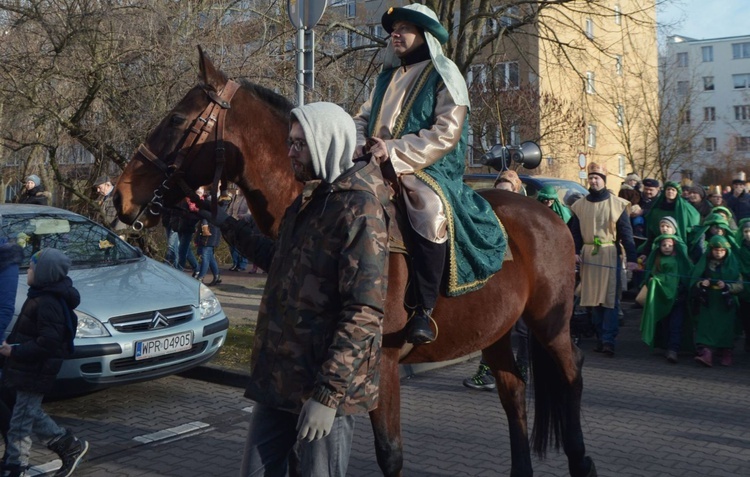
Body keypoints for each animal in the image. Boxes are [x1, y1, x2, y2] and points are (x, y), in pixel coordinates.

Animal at [114, 49, 596, 476]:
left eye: (177, 121)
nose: (120, 196)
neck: (324, 193)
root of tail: (548, 214)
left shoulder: (381, 363)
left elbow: (390, 453)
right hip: (495, 331)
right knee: (514, 393)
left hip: (550, 326)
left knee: (573, 377)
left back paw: (582, 461)